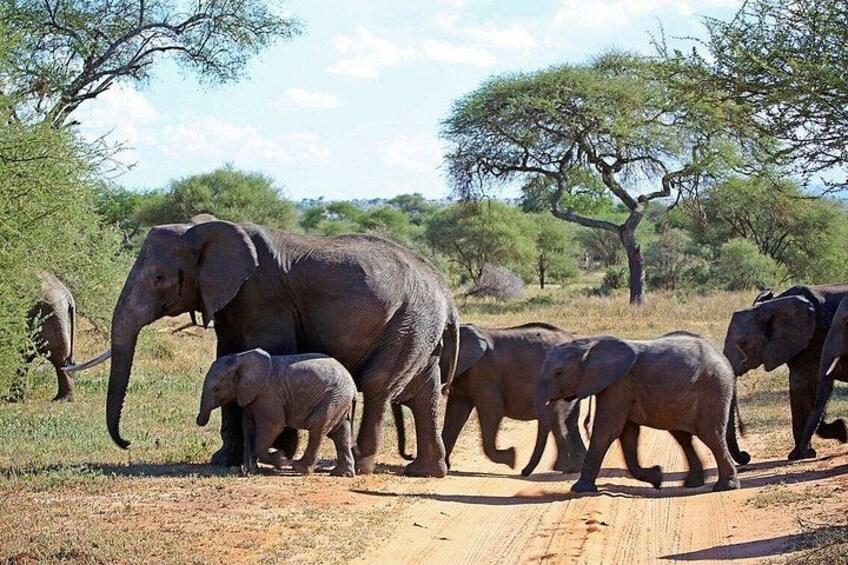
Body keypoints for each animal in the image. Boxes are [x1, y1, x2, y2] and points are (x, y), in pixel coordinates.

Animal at [196, 349, 356, 477]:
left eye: (216, 389)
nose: (199, 421)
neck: (241, 358)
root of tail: (353, 388)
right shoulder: (250, 395)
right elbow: (248, 427)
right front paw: (250, 471)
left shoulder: (269, 394)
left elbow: (274, 426)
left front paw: (281, 458)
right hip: (339, 401)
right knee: (341, 432)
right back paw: (341, 473)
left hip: (333, 398)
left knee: (317, 428)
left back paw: (299, 468)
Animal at [427, 322, 585, 474]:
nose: (522, 471)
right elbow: (456, 413)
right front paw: (446, 467)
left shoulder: (484, 373)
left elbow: (493, 411)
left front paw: (512, 458)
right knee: (571, 420)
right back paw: (574, 468)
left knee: (555, 417)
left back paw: (563, 468)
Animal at [539, 331, 747, 493]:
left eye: (558, 373)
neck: (589, 343)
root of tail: (725, 361)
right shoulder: (619, 386)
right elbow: (627, 434)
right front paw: (656, 476)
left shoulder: (618, 385)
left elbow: (606, 431)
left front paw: (579, 489)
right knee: (683, 437)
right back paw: (692, 484)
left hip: (713, 391)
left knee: (711, 435)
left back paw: (725, 487)